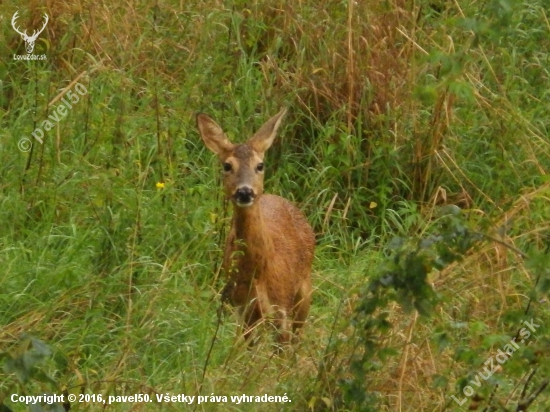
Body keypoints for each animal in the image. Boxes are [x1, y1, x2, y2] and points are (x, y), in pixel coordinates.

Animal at [199, 108, 316, 342]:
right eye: (227, 165)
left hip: (304, 290)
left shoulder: (281, 307)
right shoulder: (241, 309)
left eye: (260, 165)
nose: (245, 191)